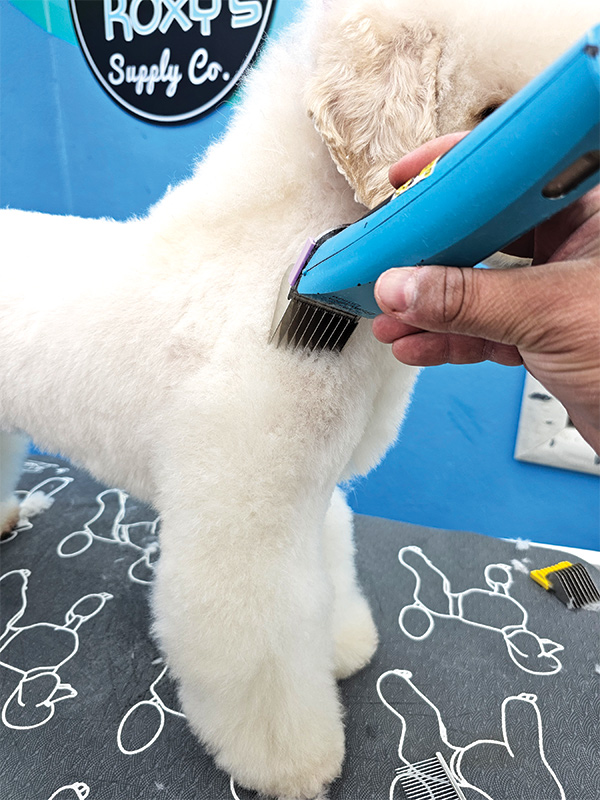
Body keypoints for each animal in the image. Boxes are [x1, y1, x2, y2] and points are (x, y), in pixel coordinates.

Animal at [0, 3, 596, 796]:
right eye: (494, 113)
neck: (289, 270)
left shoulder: (310, 494)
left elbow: (327, 575)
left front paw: (340, 645)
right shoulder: (243, 521)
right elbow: (260, 647)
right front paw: (294, 762)